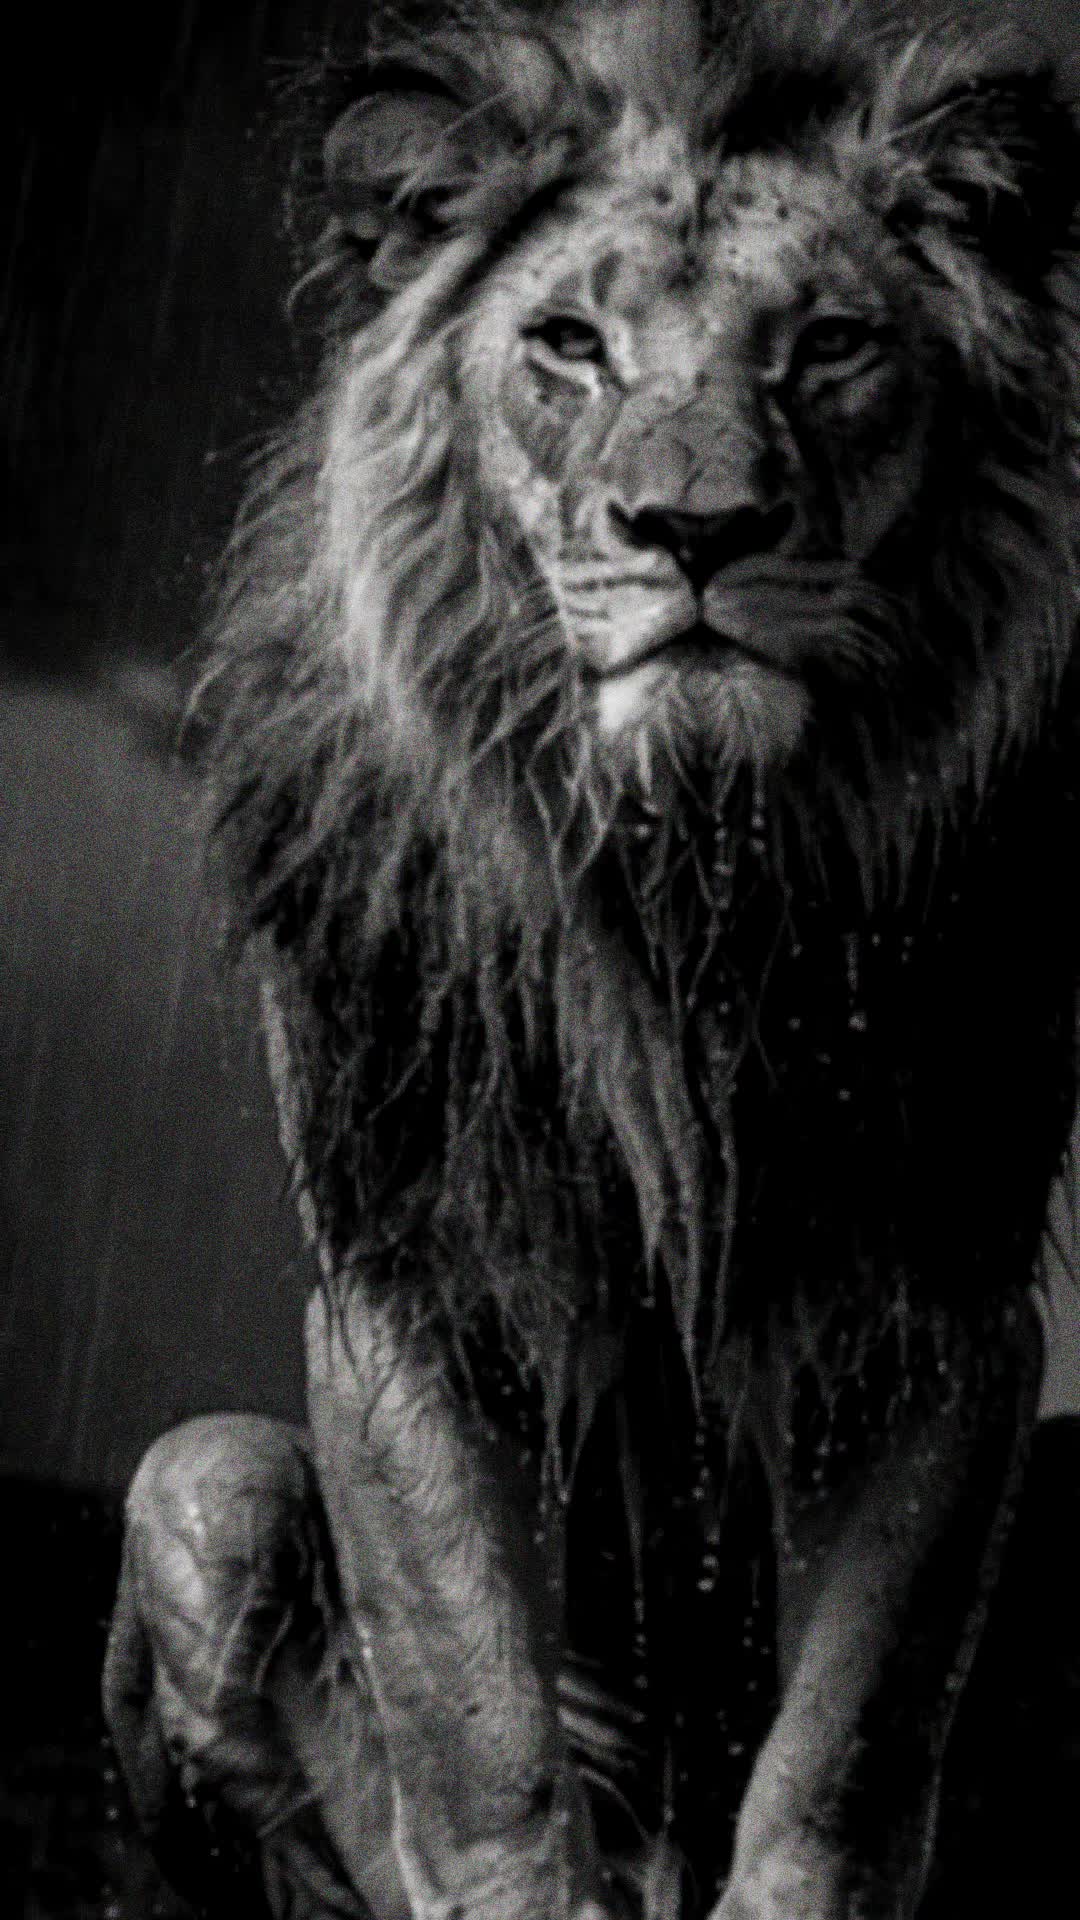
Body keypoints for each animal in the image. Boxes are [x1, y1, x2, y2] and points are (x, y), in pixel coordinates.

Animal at [103, 2, 1080, 1916]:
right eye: (568, 344)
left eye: (831, 346)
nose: (692, 533)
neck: (683, 874)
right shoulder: (410, 1256)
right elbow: (473, 1710)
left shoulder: (946, 1289)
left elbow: (844, 1744)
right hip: (206, 1479)